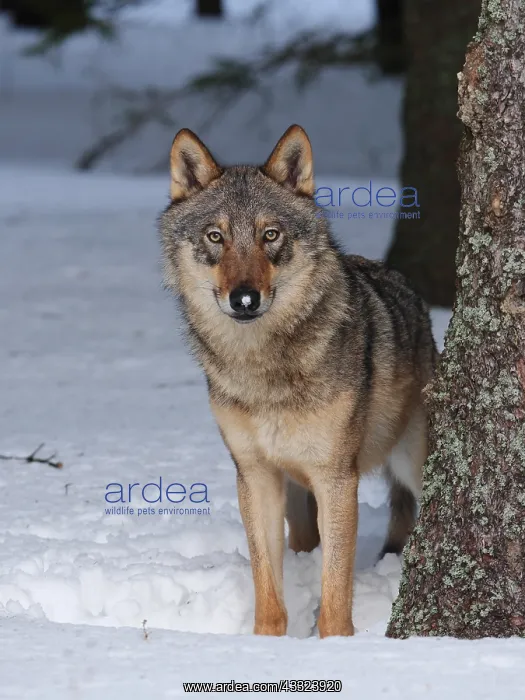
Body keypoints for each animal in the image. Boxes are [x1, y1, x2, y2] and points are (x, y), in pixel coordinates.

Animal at [159, 125, 437, 638]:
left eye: (270, 235)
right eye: (215, 237)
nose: (244, 299)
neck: (264, 369)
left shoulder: (336, 478)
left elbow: (336, 588)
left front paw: (336, 642)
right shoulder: (254, 475)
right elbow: (267, 584)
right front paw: (267, 642)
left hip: (411, 465)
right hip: (294, 491)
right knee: (303, 543)